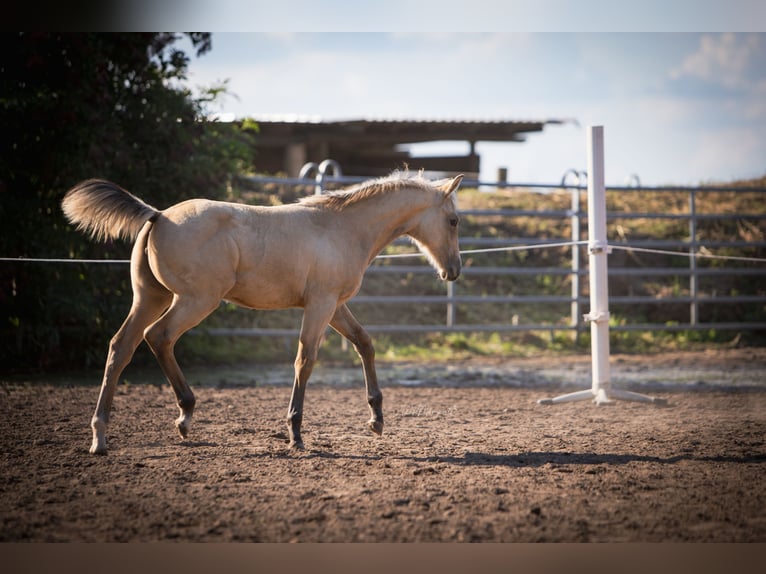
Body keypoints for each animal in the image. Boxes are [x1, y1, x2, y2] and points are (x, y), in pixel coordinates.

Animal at [61, 171, 463, 453]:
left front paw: (376, 419)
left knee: (120, 347)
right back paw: (185, 415)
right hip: (196, 299)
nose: (454, 271)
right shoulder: (321, 304)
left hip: (150, 297)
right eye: (454, 220)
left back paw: (100, 436)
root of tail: (158, 215)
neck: (343, 227)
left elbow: (364, 343)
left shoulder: (334, 305)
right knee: (158, 337)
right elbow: (305, 360)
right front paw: (295, 433)